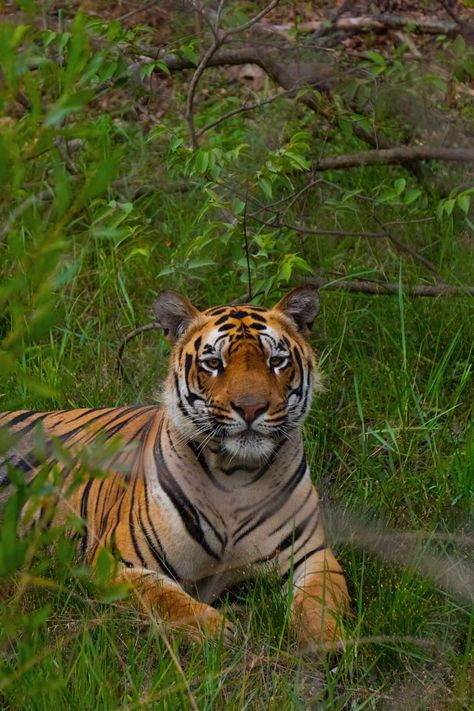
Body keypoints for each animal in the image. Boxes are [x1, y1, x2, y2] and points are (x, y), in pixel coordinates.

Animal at [0, 286, 348, 652]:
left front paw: (325, 641)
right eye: (214, 364)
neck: (236, 476)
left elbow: (319, 601)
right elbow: (165, 599)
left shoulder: (312, 555)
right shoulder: (118, 562)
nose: (251, 408)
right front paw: (217, 632)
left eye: (276, 361)